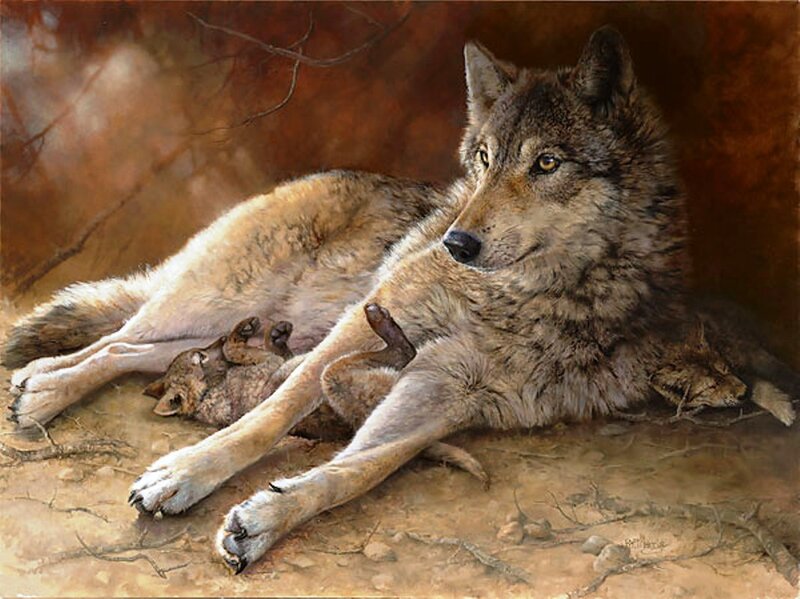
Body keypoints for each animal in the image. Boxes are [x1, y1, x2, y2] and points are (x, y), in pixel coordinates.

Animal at [4, 27, 796, 573]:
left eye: (546, 163)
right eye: (484, 159)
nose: (455, 241)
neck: (521, 295)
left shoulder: (449, 389)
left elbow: (362, 468)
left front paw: (267, 518)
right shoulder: (366, 323)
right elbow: (267, 417)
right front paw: (185, 474)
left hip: (243, 326)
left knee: (141, 350)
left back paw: (37, 389)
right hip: (221, 300)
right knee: (111, 338)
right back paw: (40, 391)